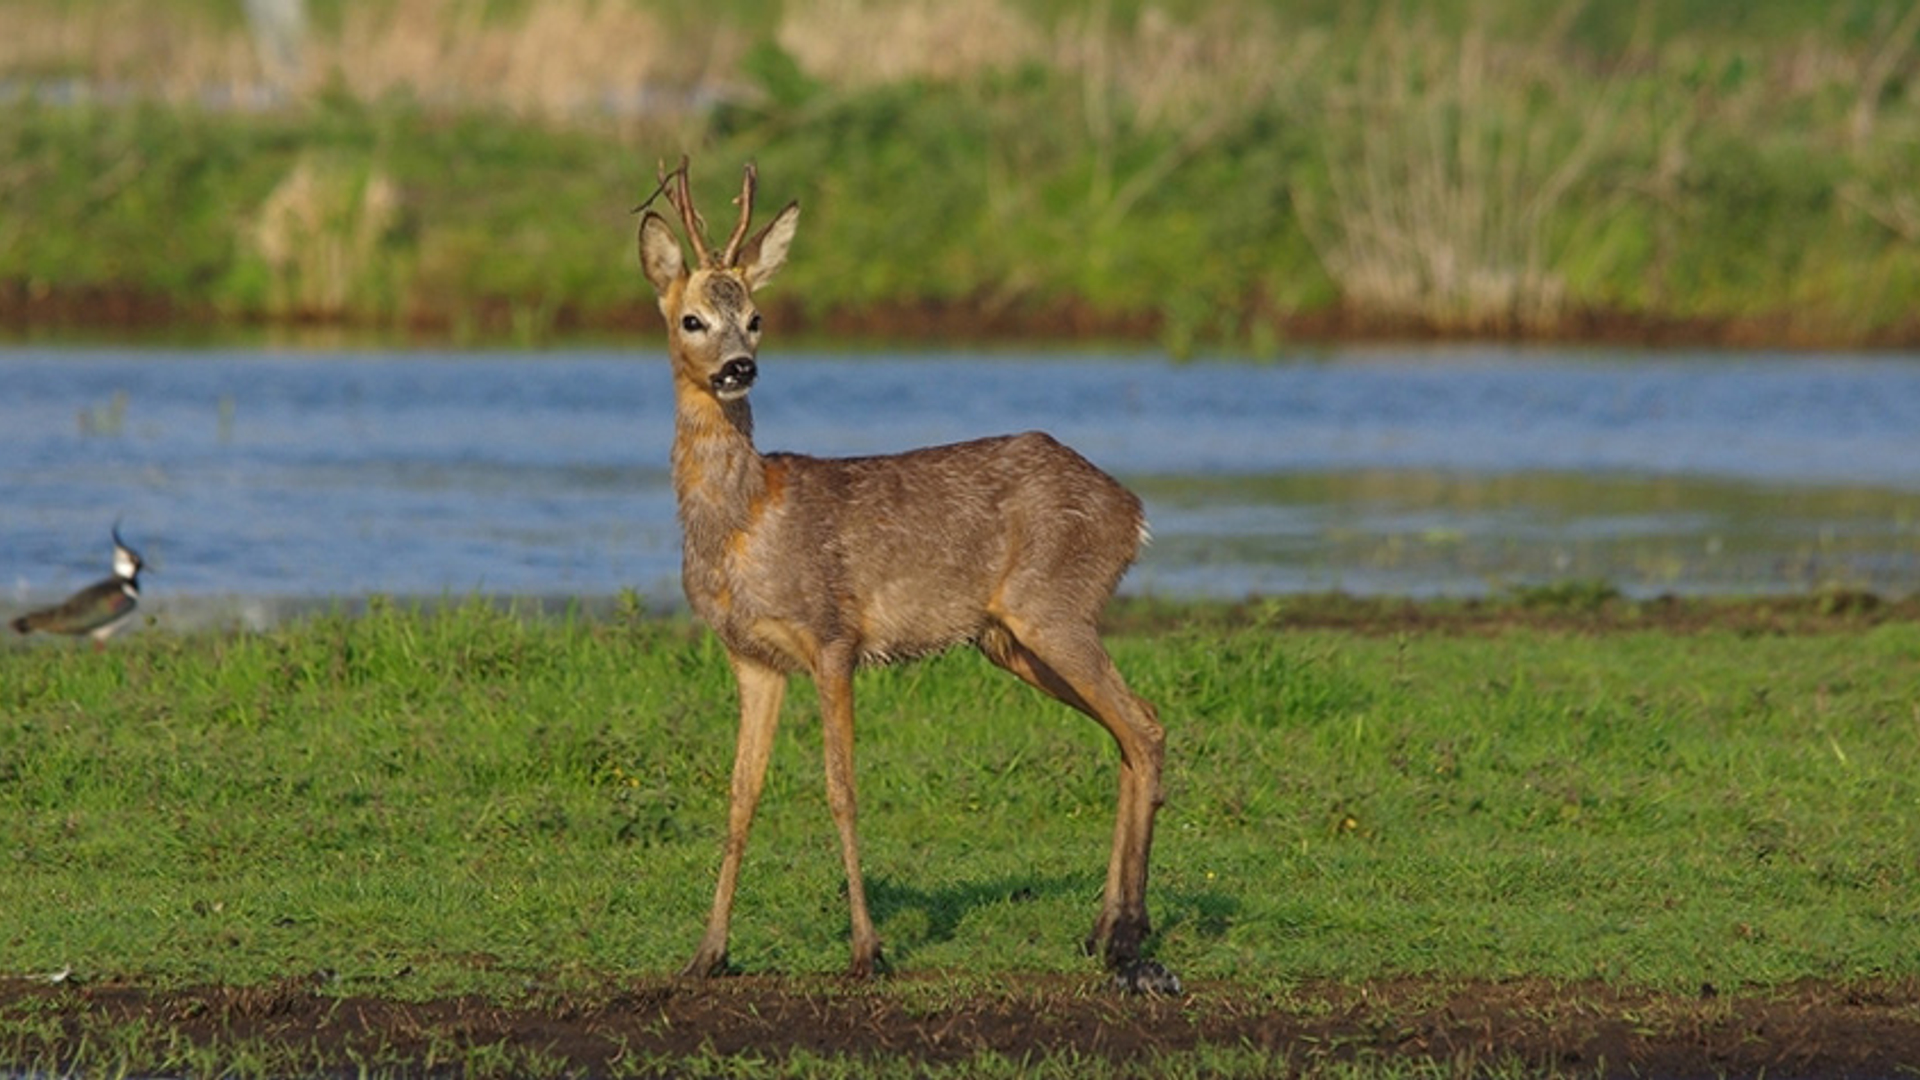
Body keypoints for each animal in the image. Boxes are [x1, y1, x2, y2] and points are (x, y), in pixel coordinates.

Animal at [637, 155, 1175, 991]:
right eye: (693, 318)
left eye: (756, 316)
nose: (739, 368)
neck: (744, 520)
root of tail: (1134, 509)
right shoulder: (751, 656)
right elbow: (740, 795)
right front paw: (707, 953)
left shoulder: (832, 635)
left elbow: (841, 788)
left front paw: (867, 950)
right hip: (1010, 639)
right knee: (1128, 730)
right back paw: (1103, 930)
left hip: (1054, 607)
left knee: (1145, 726)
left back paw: (1126, 936)